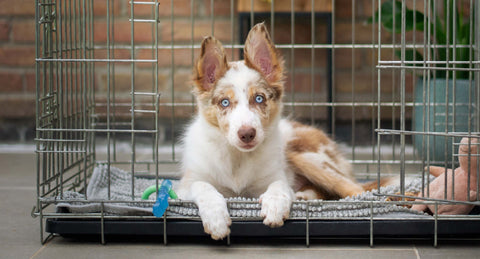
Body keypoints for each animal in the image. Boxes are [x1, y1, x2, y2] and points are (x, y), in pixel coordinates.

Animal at [176, 23, 368, 241]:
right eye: (225, 102)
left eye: (259, 98)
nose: (247, 134)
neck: (237, 158)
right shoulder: (186, 185)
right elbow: (203, 186)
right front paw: (216, 219)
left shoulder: (275, 176)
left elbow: (279, 186)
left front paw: (274, 206)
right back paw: (304, 196)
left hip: (305, 155)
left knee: (356, 189)